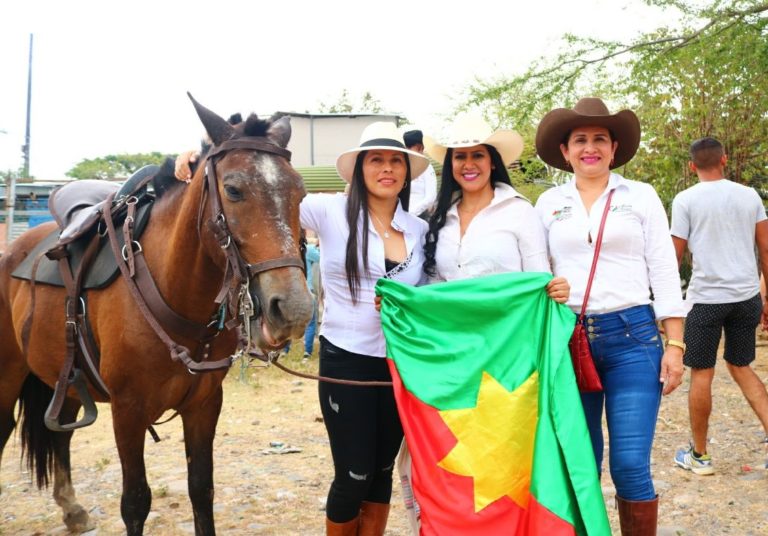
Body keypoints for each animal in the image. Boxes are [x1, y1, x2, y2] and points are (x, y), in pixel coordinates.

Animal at [0, 97, 316, 536]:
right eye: (233, 190)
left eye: (300, 193)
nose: (293, 308)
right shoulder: (128, 411)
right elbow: (135, 502)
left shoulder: (204, 405)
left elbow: (201, 489)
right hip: (8, 375)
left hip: (66, 379)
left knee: (60, 431)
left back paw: (72, 509)